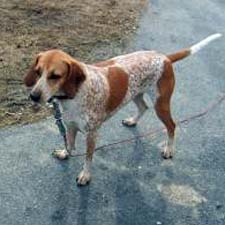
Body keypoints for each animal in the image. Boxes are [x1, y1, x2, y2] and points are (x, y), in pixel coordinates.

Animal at [23, 33, 221, 185]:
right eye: (38, 72)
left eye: (55, 76)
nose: (33, 96)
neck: (76, 93)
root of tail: (165, 57)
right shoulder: (71, 126)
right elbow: (70, 145)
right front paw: (65, 154)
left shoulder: (92, 134)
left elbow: (88, 158)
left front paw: (85, 175)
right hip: (136, 94)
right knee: (143, 107)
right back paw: (133, 121)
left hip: (161, 104)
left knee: (171, 125)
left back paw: (168, 149)